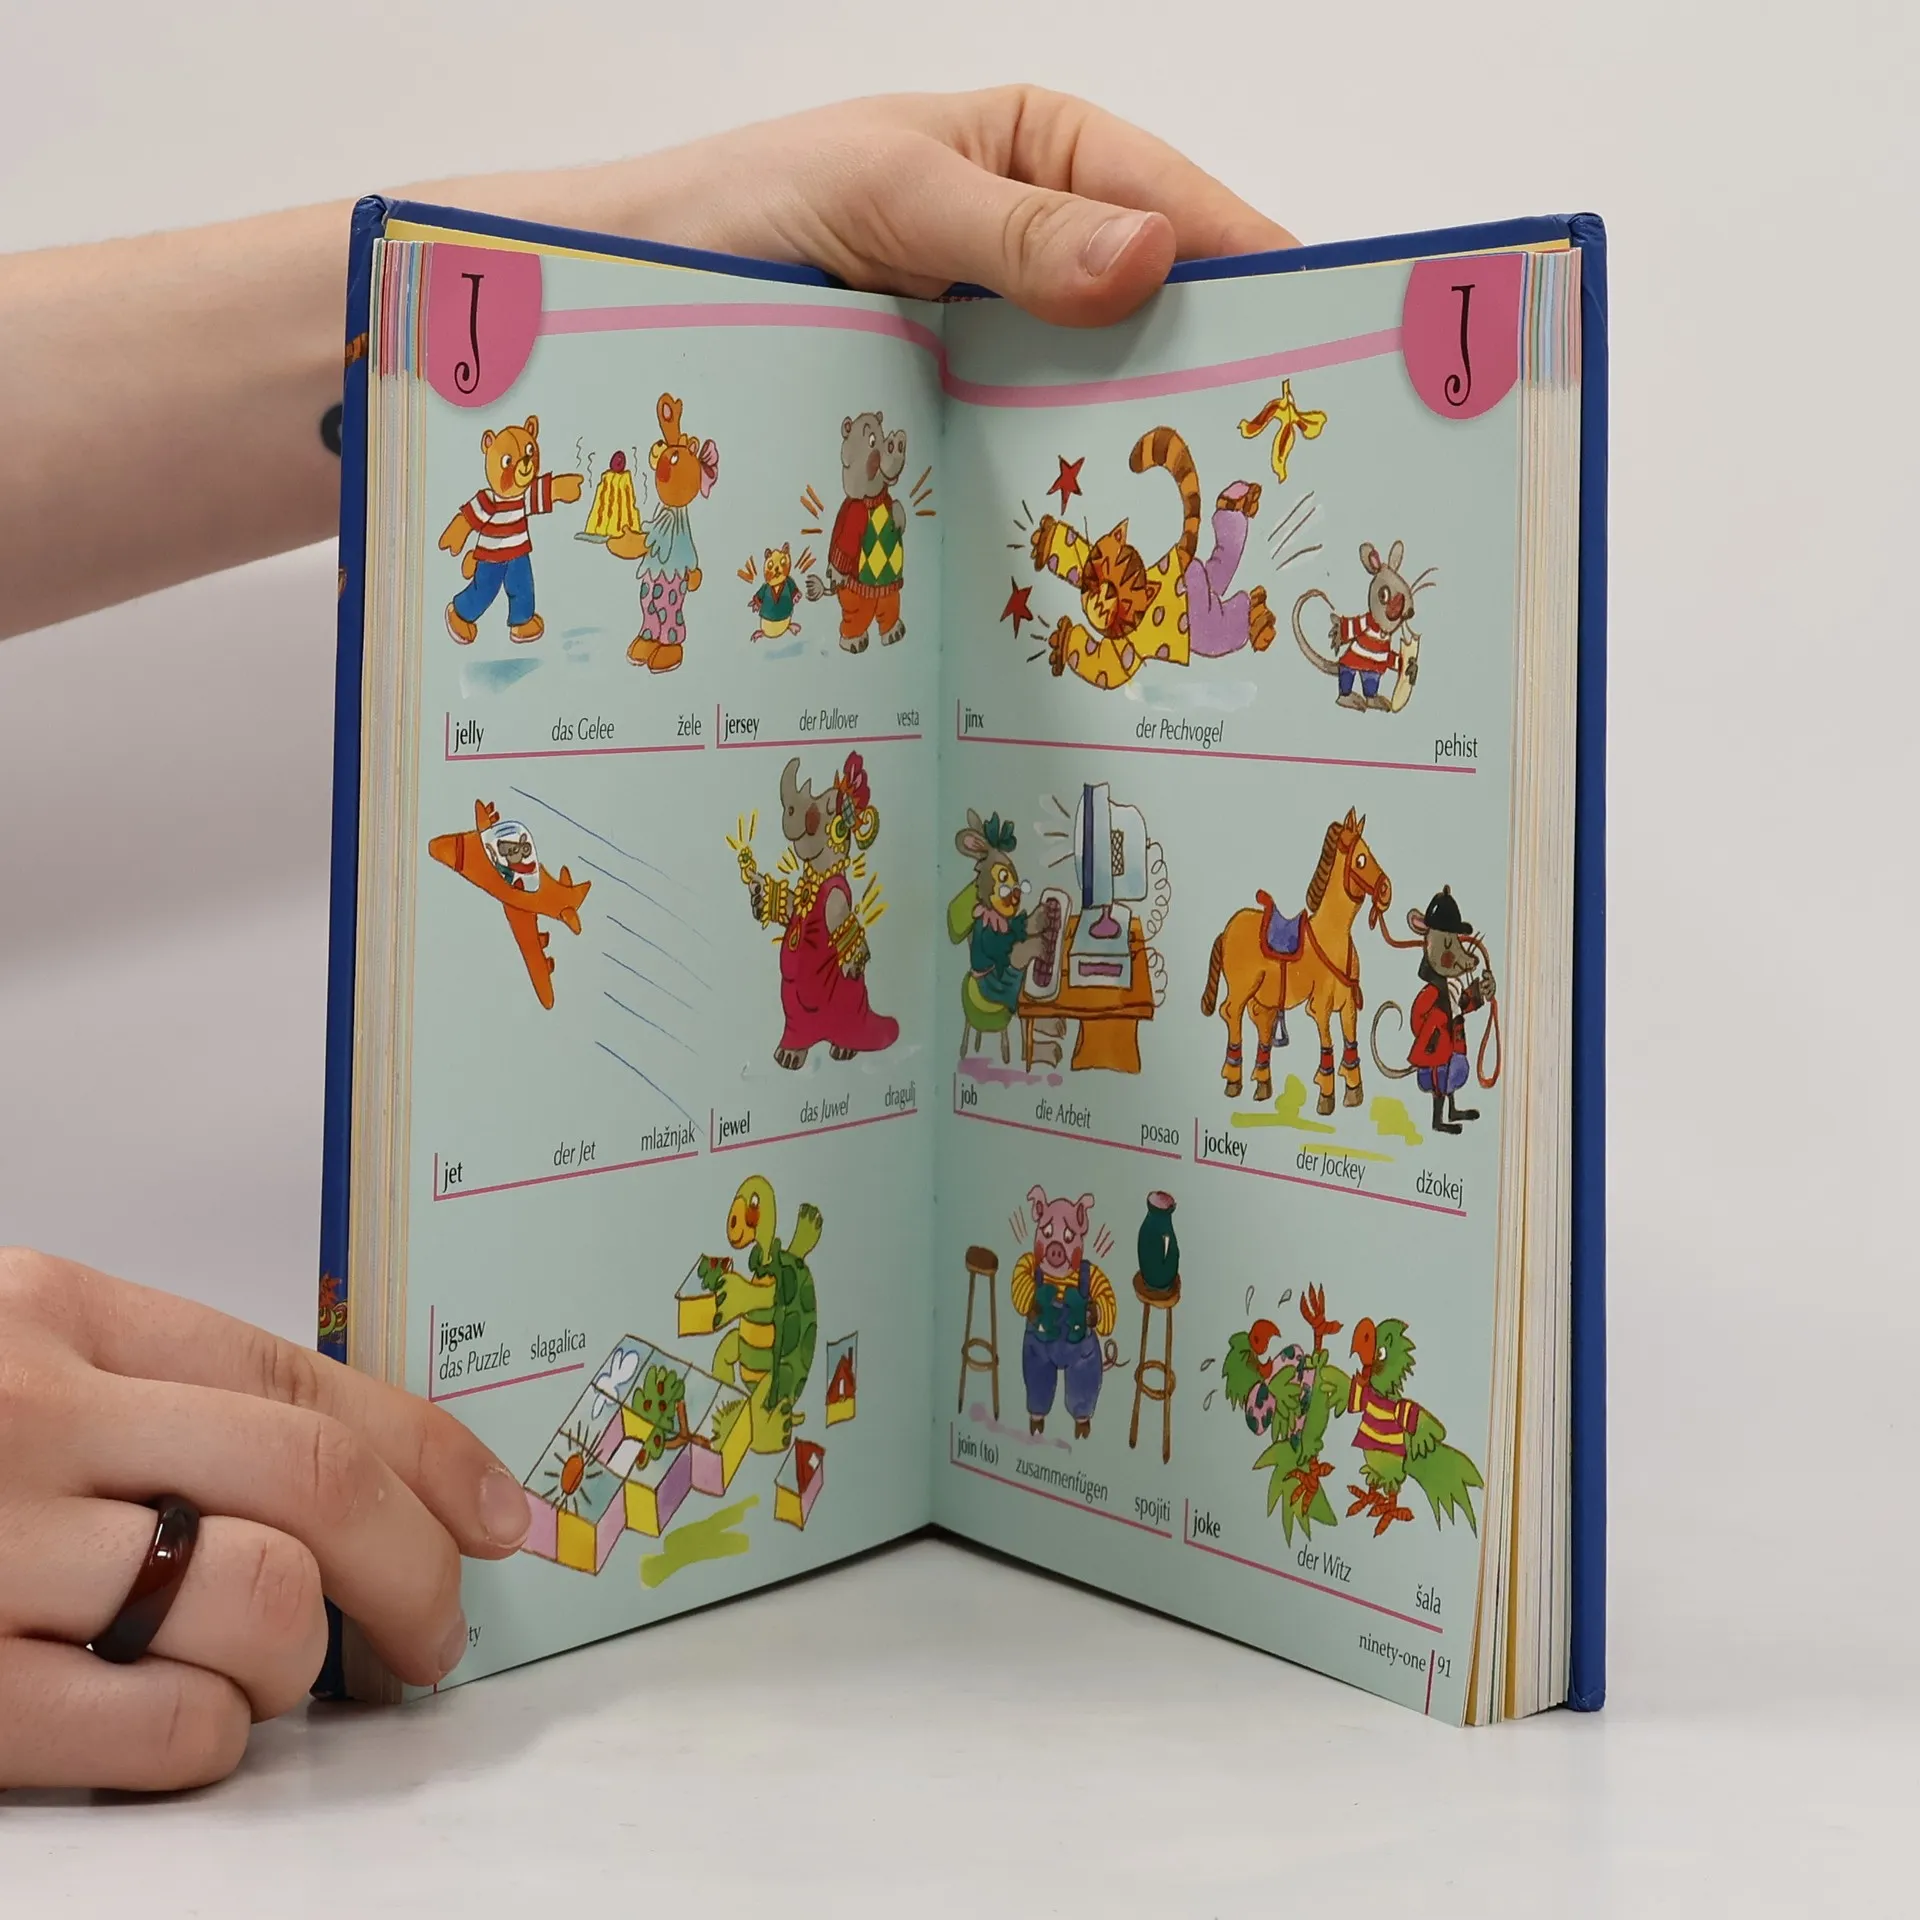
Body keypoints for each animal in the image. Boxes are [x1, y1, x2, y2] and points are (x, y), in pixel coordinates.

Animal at [1200, 810, 1392, 1113]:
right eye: (1360, 859)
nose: (1386, 891)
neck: (1332, 935)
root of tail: (1227, 929)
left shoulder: (1348, 1004)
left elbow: (1351, 1041)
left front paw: (1354, 1092)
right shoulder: (1321, 1006)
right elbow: (1328, 1044)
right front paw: (1327, 1097)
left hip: (1265, 998)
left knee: (1262, 1024)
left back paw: (1262, 1086)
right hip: (1242, 988)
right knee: (1230, 1013)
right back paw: (1233, 1080)